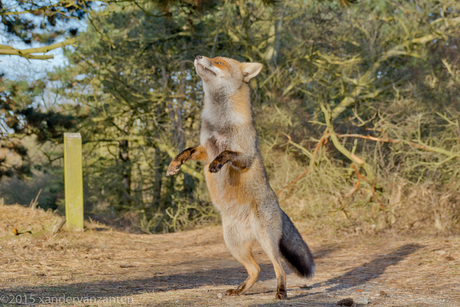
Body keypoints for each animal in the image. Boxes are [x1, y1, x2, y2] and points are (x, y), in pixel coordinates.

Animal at [167, 55, 314, 300]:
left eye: (219, 62)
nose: (198, 56)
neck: (220, 122)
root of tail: (277, 206)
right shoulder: (205, 149)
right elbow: (187, 150)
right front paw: (174, 164)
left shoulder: (244, 154)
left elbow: (227, 153)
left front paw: (217, 165)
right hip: (233, 244)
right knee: (256, 270)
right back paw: (239, 290)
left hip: (266, 240)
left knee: (278, 268)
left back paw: (281, 292)